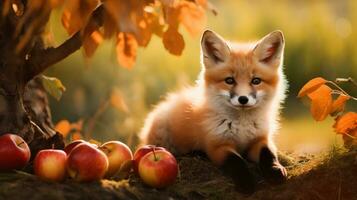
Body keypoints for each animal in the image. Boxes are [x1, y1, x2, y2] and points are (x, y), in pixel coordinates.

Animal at [138, 29, 286, 192]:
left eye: (256, 81)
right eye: (229, 80)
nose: (243, 99)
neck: (241, 126)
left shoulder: (261, 139)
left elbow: (269, 154)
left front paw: (275, 170)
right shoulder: (217, 146)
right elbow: (236, 161)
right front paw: (246, 182)